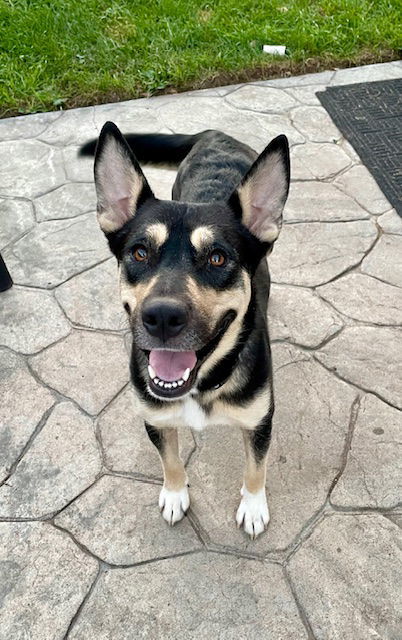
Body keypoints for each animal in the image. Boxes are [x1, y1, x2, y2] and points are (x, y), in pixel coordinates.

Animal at [80, 122, 290, 536]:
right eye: (139, 252)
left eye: (218, 258)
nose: (162, 317)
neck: (202, 384)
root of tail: (214, 133)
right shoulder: (156, 418)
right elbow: (171, 460)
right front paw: (176, 494)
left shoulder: (259, 419)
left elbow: (255, 468)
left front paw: (253, 506)